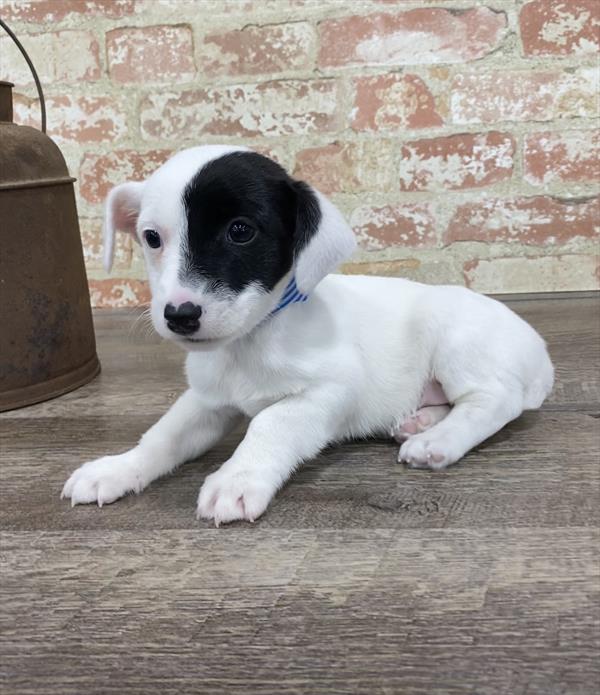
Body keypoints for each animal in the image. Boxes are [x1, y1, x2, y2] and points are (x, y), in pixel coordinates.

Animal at [61, 148, 552, 528]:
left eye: (241, 231)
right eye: (151, 238)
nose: (180, 315)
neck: (251, 341)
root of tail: (541, 355)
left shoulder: (330, 391)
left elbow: (269, 423)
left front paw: (237, 478)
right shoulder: (206, 400)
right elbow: (163, 436)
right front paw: (118, 468)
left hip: (458, 342)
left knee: (492, 399)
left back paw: (439, 441)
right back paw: (420, 421)